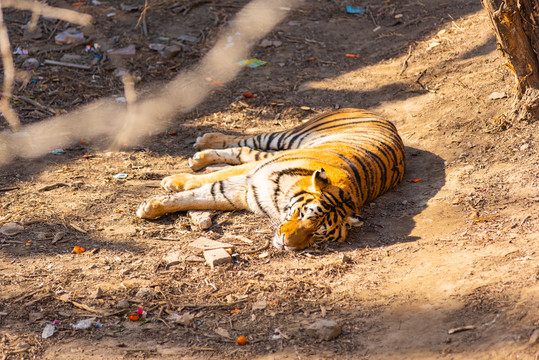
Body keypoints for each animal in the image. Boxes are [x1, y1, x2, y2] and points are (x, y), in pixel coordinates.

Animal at [137, 108, 408, 250]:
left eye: (318, 233)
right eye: (303, 215)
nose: (287, 244)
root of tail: (372, 111)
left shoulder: (241, 195)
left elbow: (203, 196)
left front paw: (152, 206)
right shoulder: (252, 176)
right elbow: (215, 178)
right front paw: (166, 190)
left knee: (243, 151)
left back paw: (200, 152)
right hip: (286, 138)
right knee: (245, 143)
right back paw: (202, 145)